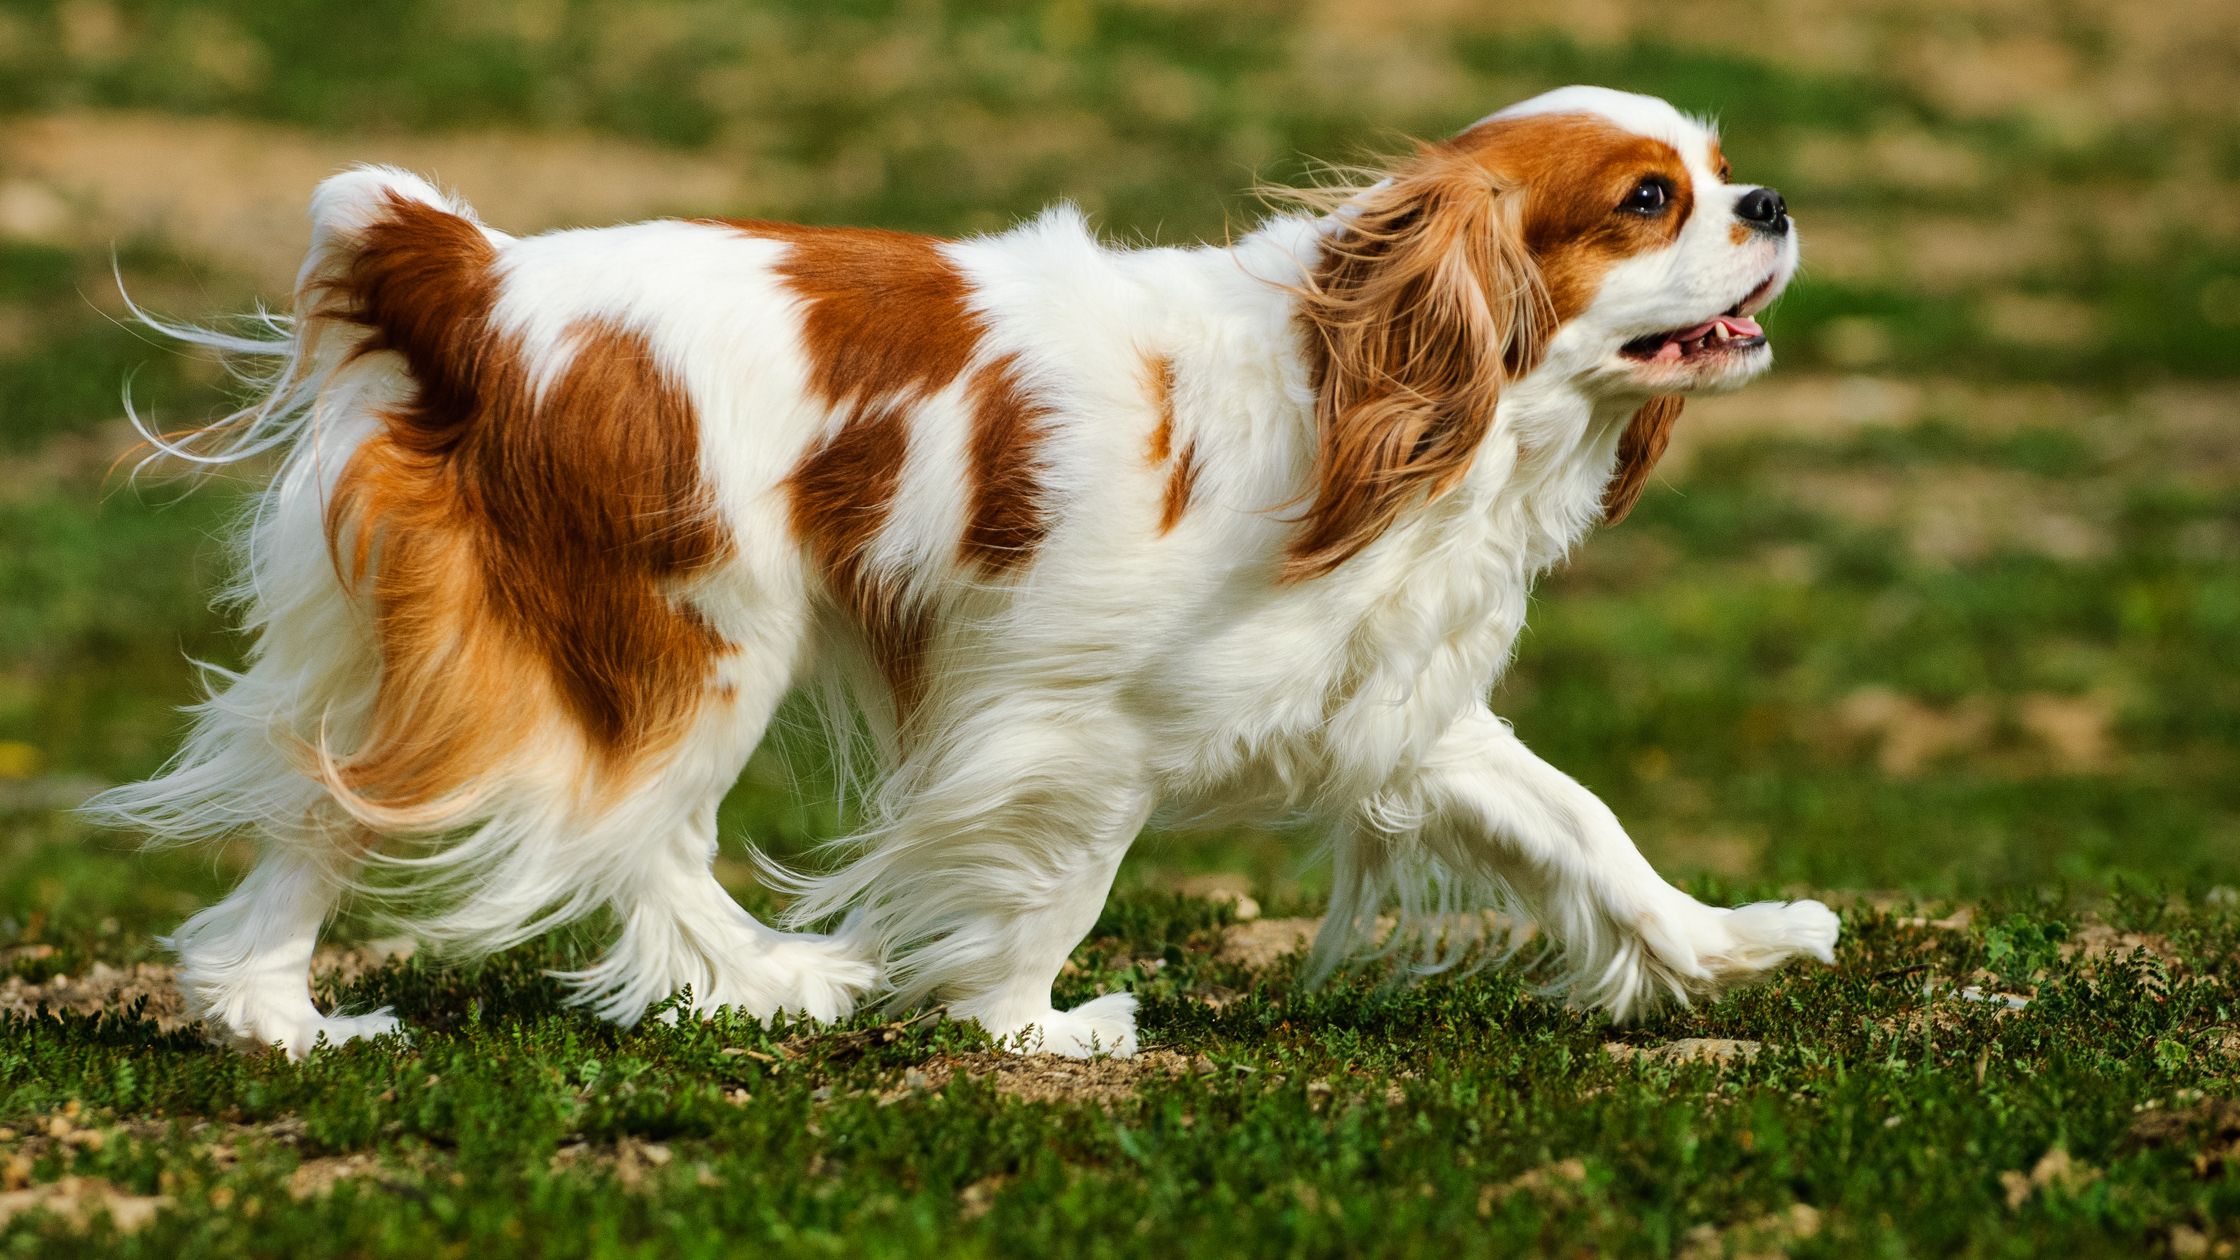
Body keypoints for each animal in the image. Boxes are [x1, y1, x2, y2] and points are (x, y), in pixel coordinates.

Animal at [87, 83, 1836, 1053]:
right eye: (1649, 201)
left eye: (1718, 167)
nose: (1771, 198)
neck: (1367, 382)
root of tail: (475, 275)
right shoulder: (1072, 724)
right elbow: (1059, 888)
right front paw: (1033, 1031)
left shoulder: (1398, 710)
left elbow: (1583, 828)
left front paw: (1727, 944)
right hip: (698, 622)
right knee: (636, 829)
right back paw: (769, 982)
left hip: (456, 634)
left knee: (344, 802)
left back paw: (271, 1017)